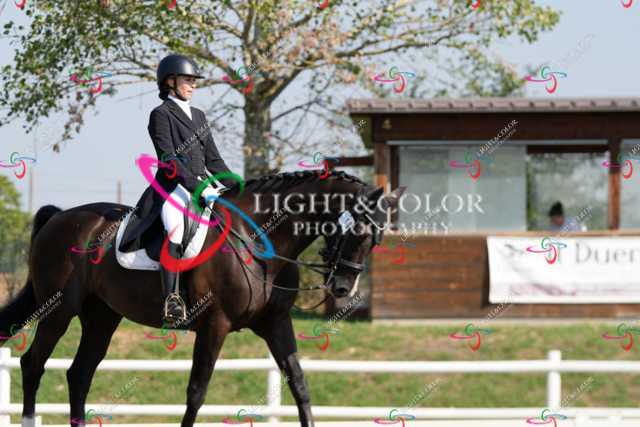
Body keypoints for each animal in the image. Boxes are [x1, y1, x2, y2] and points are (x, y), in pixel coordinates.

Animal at [0, 170, 404, 427]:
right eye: (359, 232)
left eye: (377, 238)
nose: (343, 289)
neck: (258, 240)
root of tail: (60, 218)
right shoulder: (215, 325)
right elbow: (196, 391)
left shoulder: (275, 323)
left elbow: (300, 384)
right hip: (58, 309)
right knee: (33, 365)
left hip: (102, 317)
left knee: (80, 374)